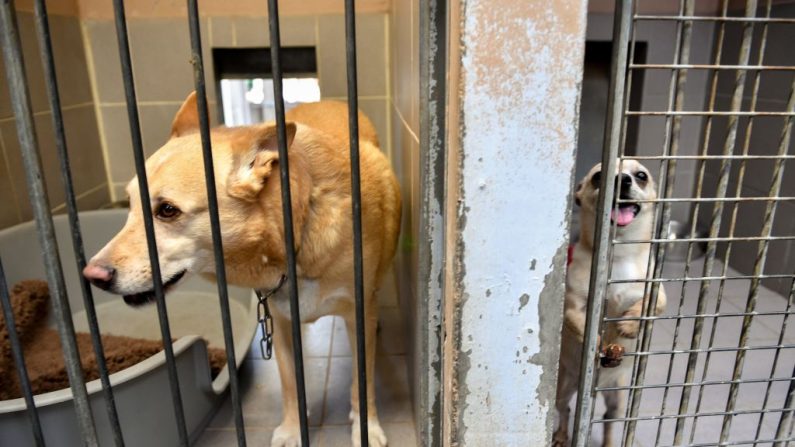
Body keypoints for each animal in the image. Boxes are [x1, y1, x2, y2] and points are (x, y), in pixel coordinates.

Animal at [84, 92, 402, 447]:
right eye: (130, 205)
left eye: (167, 210)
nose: (93, 276)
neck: (297, 229)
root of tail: (328, 100)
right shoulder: (281, 323)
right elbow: (290, 383)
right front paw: (293, 428)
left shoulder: (357, 318)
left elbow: (363, 384)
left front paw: (366, 427)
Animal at [552, 159, 664, 446]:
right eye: (599, 177)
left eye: (641, 176)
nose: (622, 179)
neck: (620, 254)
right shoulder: (574, 308)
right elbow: (586, 329)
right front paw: (600, 345)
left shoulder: (656, 289)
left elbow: (654, 304)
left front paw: (630, 325)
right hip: (564, 387)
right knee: (565, 410)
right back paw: (561, 435)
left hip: (618, 397)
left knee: (608, 419)